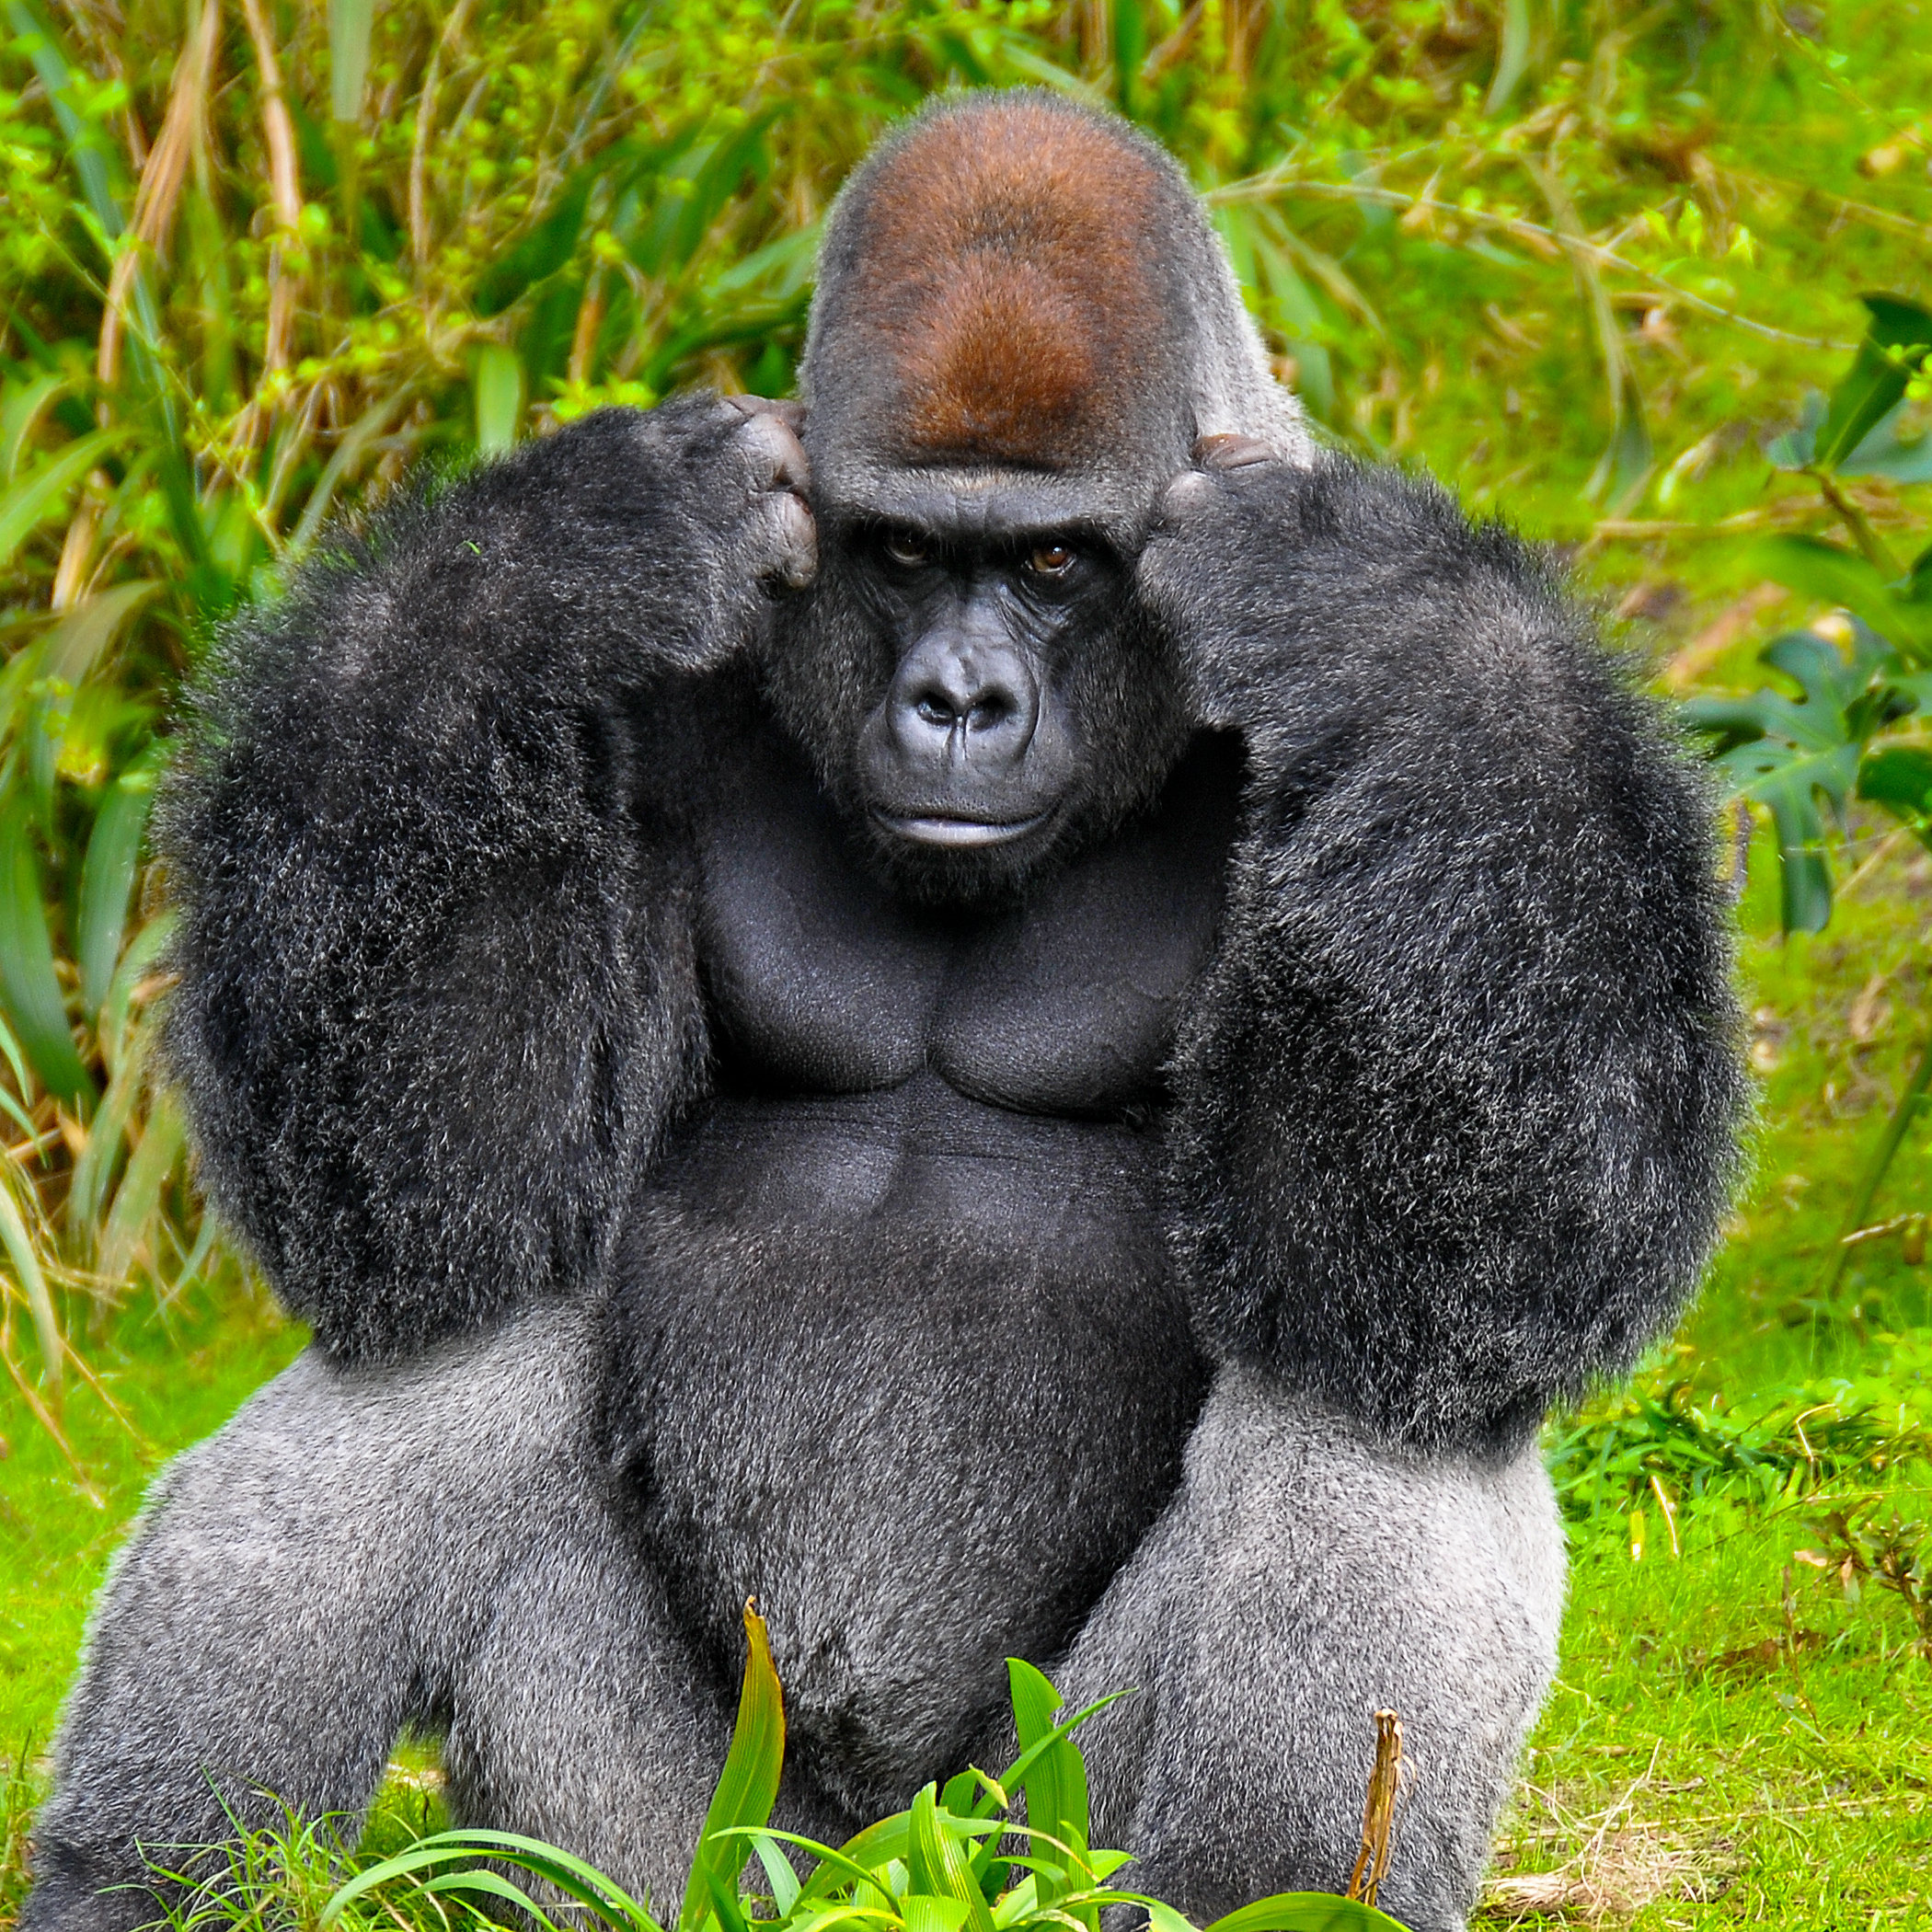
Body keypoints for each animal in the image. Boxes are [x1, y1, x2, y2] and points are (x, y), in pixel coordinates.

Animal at [26, 90, 1754, 1932]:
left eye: (1055, 561)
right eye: (908, 553)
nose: (958, 700)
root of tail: (870, 1863)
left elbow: (1459, 1264)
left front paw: (1376, 604)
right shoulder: (657, 690)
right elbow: (443, 1192)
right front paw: (550, 554)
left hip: (1032, 1844)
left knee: (1372, 1412)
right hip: (680, 1864)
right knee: (453, 1339)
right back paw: (129, 1880)